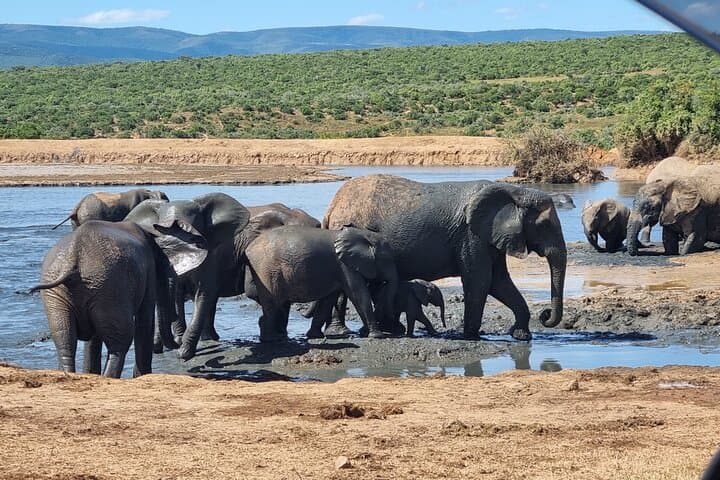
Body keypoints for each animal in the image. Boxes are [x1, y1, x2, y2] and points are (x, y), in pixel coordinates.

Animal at [29, 219, 208, 378]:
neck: (152, 232)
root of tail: (74, 258)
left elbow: (94, 337)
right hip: (109, 288)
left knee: (64, 340)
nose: (179, 347)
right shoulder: (148, 270)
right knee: (120, 343)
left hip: (67, 290)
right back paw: (110, 377)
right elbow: (145, 320)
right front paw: (141, 376)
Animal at [125, 193, 251, 360]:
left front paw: (184, 353)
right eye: (158, 237)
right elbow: (177, 294)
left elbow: (203, 293)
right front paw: (179, 340)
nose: (158, 349)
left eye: (194, 238)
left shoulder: (211, 258)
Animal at [243, 225, 398, 342]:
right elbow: (358, 294)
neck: (364, 234)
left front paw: (315, 336)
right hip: (265, 270)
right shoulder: (344, 265)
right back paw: (272, 339)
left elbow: (328, 300)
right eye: (389, 260)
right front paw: (377, 336)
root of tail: (249, 248)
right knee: (272, 304)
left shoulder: (339, 269)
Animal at [323, 174, 567, 340]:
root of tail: (331, 207)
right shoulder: (471, 234)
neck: (516, 191)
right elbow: (480, 281)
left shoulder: (489, 236)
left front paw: (520, 335)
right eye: (544, 226)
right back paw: (347, 331)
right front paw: (471, 337)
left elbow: (499, 282)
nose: (545, 315)